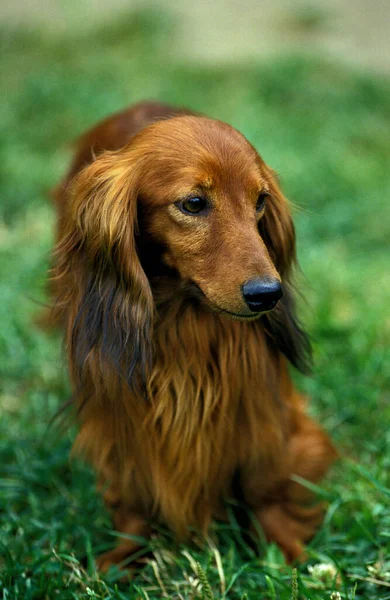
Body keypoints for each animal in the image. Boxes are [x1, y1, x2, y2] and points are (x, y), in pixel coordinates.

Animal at [49, 101, 336, 568]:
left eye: (261, 200)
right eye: (194, 203)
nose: (268, 295)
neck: (184, 318)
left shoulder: (260, 400)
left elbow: (265, 486)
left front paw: (288, 554)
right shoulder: (117, 402)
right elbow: (132, 489)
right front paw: (124, 556)